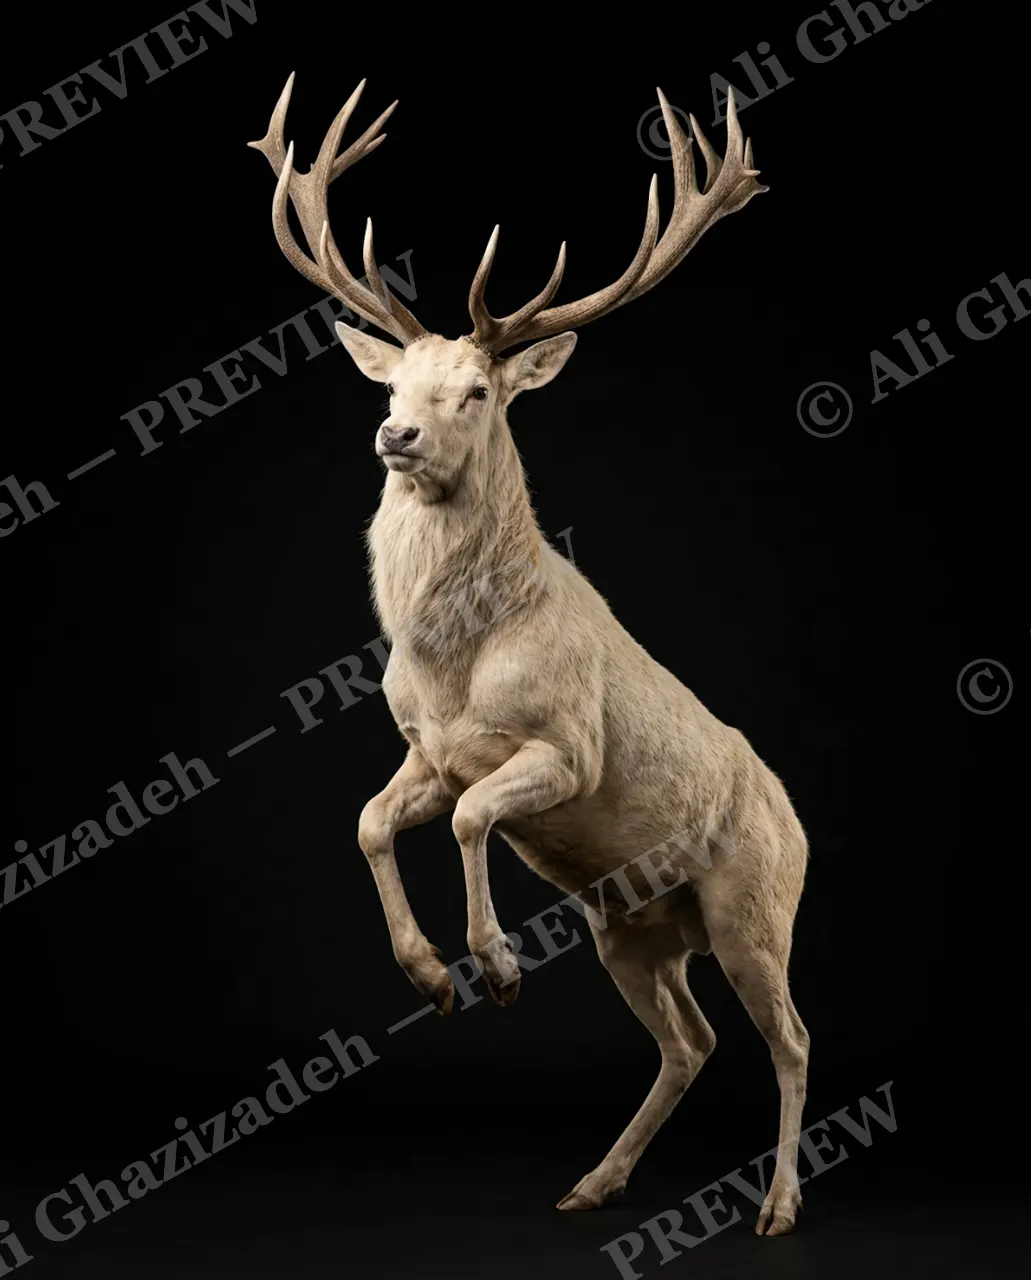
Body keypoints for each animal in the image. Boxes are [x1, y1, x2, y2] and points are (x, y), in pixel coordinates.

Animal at [249, 73, 810, 1237]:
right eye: (392, 386)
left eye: (475, 391)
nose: (396, 438)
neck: (454, 664)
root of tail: (805, 831)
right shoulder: (424, 748)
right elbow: (370, 819)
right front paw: (430, 976)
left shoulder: (566, 748)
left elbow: (472, 815)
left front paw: (496, 966)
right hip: (633, 924)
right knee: (689, 1038)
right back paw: (592, 1182)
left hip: (754, 904)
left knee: (788, 1036)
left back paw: (776, 1205)